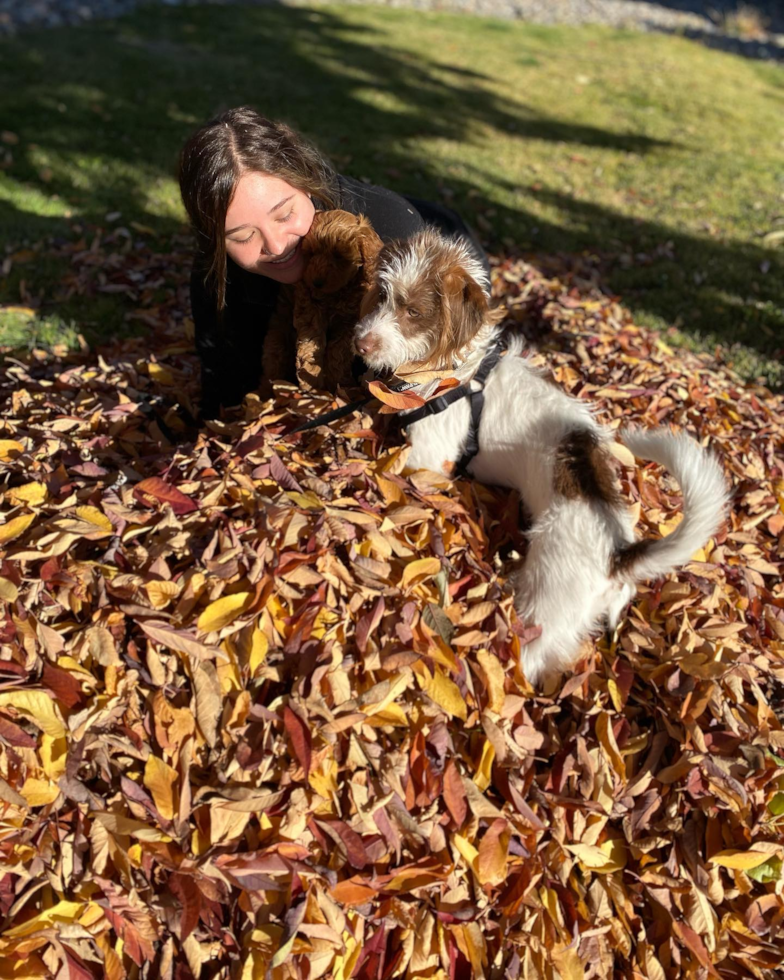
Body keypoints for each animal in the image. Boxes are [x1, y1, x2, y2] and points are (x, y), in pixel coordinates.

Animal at [262, 212, 384, 394]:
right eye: (311, 253)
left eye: (339, 256)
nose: (316, 282)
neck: (334, 294)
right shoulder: (309, 310)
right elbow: (311, 345)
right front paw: (312, 383)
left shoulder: (349, 321)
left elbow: (338, 351)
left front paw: (340, 384)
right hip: (278, 337)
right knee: (273, 362)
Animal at [356, 230, 728, 688]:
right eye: (382, 296)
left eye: (413, 311)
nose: (360, 342)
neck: (455, 371)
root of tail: (617, 554)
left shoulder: (429, 456)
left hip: (544, 610)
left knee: (529, 661)